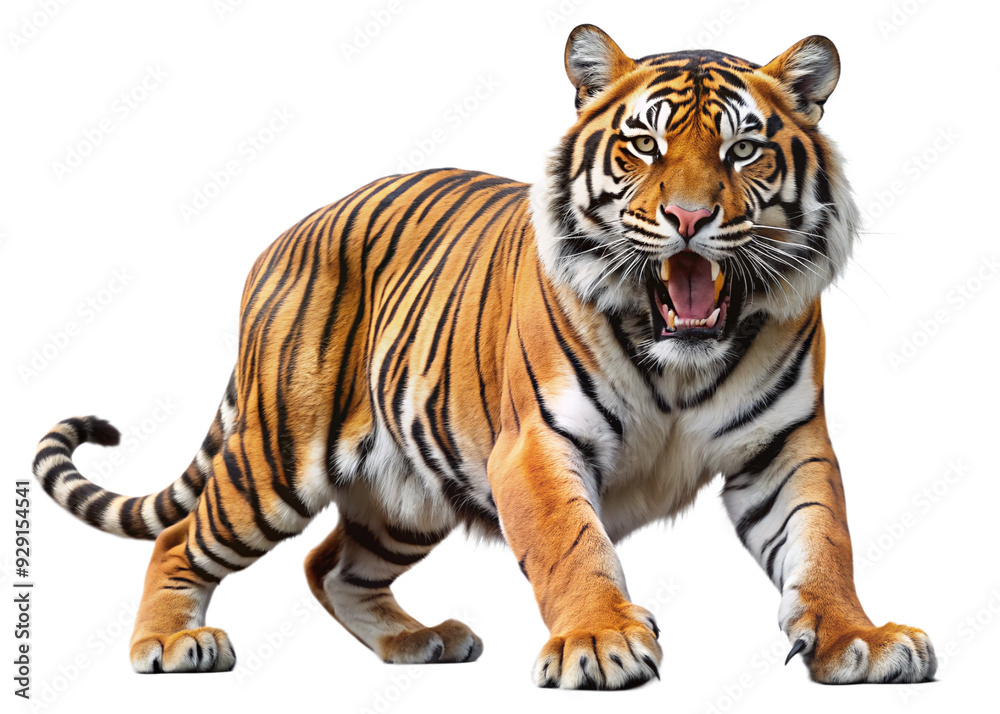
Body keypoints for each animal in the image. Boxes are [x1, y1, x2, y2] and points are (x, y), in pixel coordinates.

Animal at [32, 24, 936, 689]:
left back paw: (416, 642)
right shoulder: (536, 444)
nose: (688, 218)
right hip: (275, 459)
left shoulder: (786, 445)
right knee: (180, 539)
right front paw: (601, 642)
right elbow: (573, 546)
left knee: (331, 566)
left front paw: (859, 637)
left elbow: (823, 542)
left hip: (406, 494)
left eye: (743, 150)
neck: (680, 355)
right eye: (644, 146)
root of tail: (288, 234)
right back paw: (168, 646)